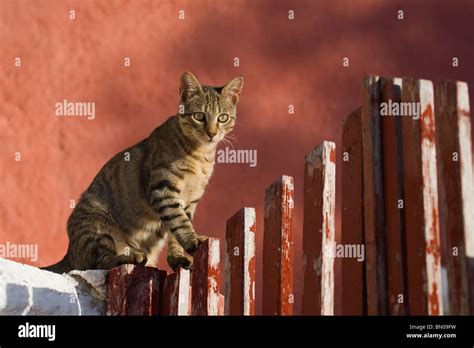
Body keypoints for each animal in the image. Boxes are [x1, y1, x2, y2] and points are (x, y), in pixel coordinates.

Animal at [43, 71, 244, 272]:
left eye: (223, 118)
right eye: (199, 116)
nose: (212, 133)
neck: (201, 154)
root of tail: (68, 255)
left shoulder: (190, 200)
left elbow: (176, 230)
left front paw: (178, 257)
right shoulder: (163, 189)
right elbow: (180, 222)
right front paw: (193, 241)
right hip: (96, 227)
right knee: (100, 263)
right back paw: (130, 257)